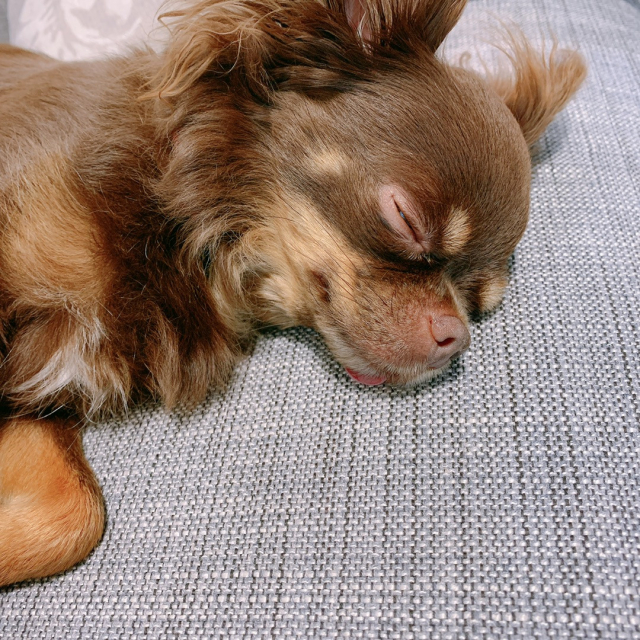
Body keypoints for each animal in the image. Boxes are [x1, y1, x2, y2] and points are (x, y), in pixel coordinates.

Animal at [0, 0, 584, 584]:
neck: (180, 229)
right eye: (406, 221)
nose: (457, 338)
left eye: (477, 303)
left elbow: (78, 513)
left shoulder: (42, 399)